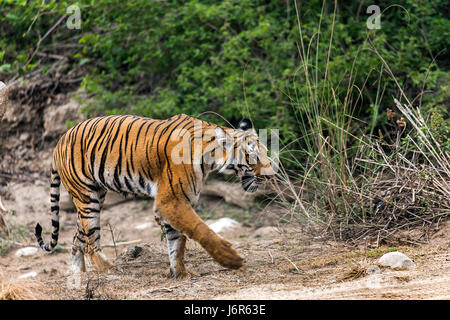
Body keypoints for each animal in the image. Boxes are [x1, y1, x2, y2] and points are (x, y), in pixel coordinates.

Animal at [35, 113, 274, 278]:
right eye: (253, 157)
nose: (271, 175)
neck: (210, 157)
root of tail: (60, 140)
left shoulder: (177, 202)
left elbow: (177, 242)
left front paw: (180, 273)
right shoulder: (172, 200)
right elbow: (200, 230)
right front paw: (232, 259)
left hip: (95, 194)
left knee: (78, 238)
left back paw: (79, 276)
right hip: (86, 197)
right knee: (90, 241)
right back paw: (110, 269)